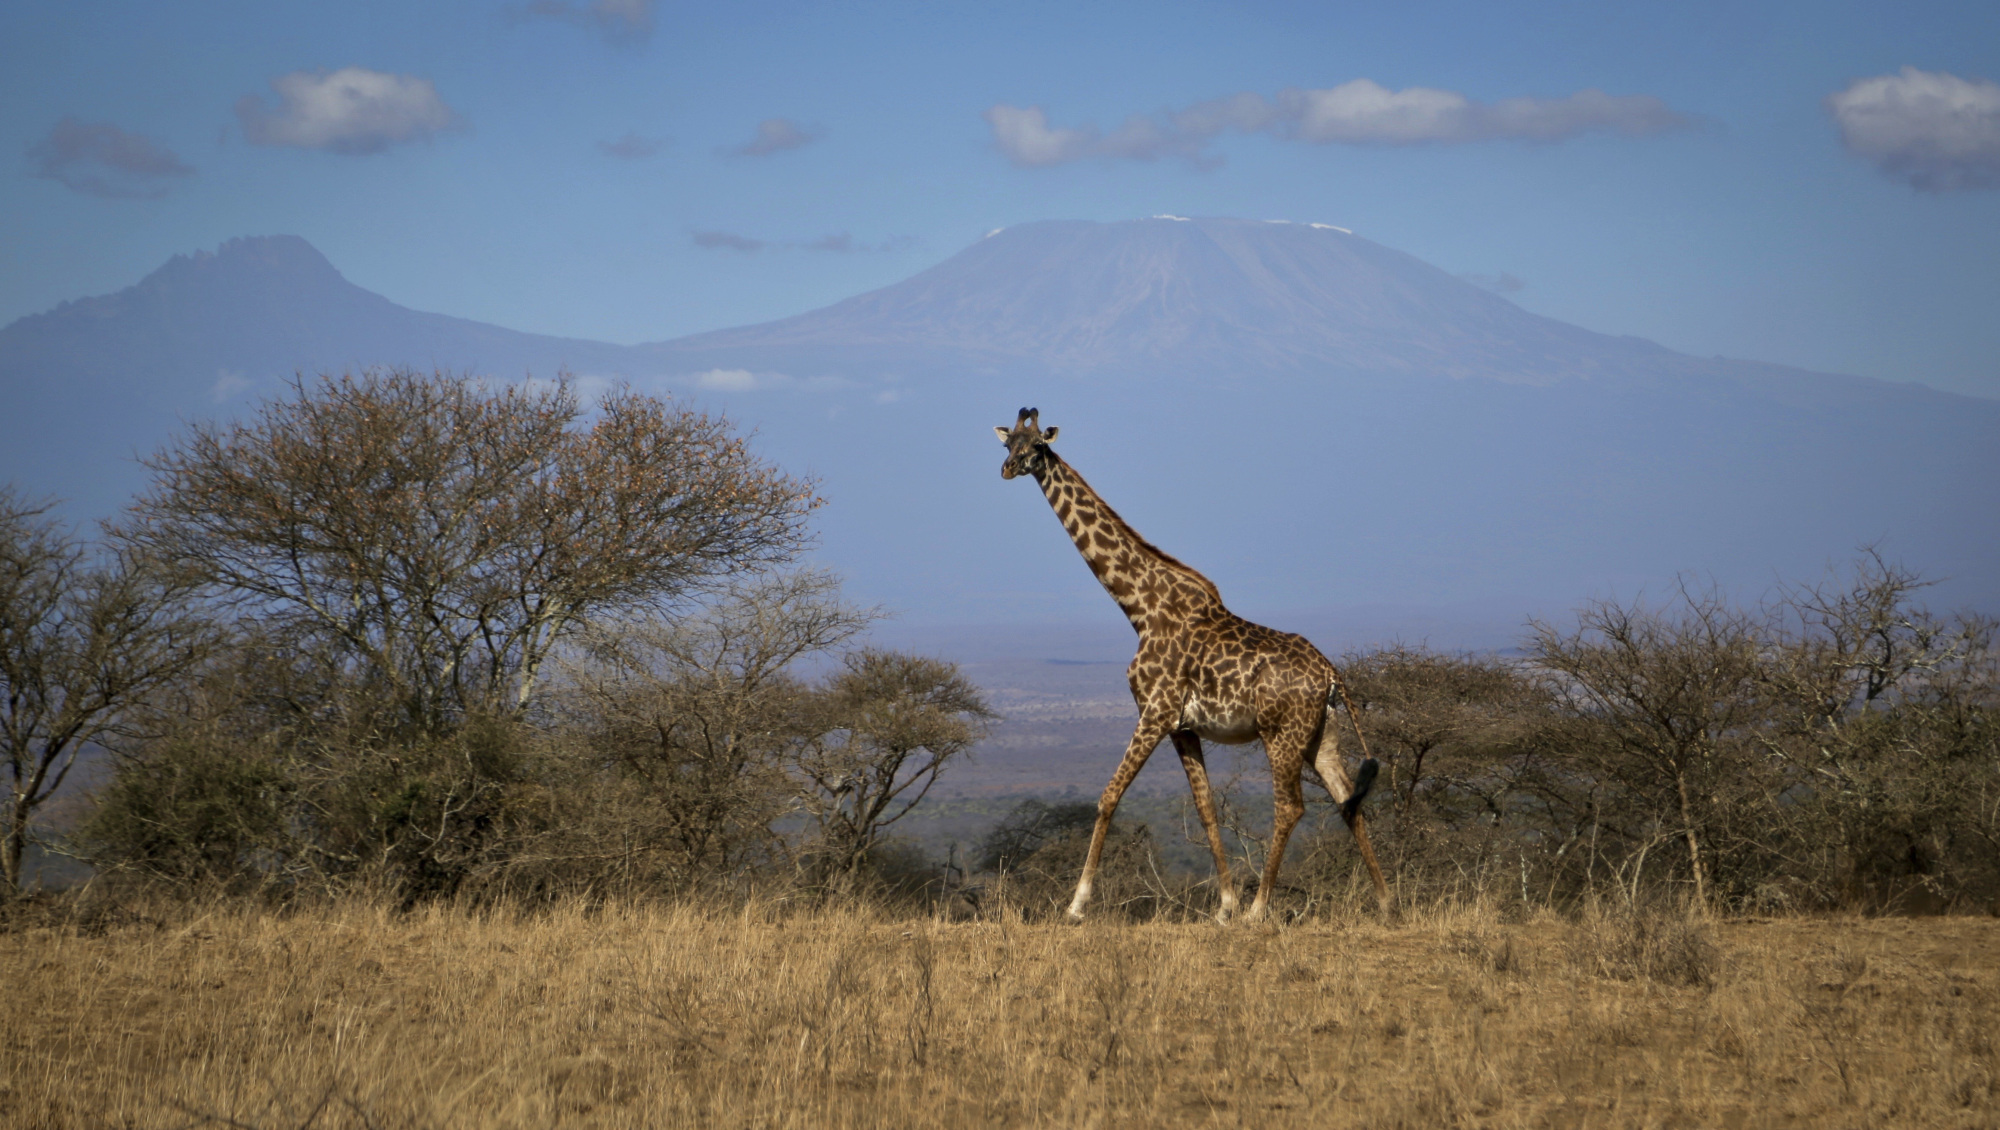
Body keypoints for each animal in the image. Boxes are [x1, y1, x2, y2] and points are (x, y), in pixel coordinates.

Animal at [996, 410, 1392, 920]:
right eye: (1008, 443)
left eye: (1037, 447)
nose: (1007, 469)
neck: (1140, 607)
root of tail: (1331, 675)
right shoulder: (1183, 726)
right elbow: (1206, 809)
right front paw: (1223, 907)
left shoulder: (1155, 712)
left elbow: (1108, 797)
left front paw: (1076, 906)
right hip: (1320, 735)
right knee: (1348, 800)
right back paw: (1385, 902)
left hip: (1280, 735)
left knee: (1291, 807)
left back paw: (1259, 909)